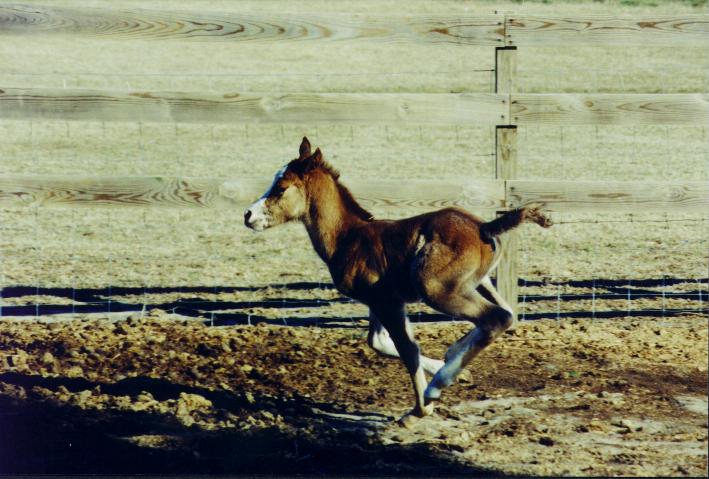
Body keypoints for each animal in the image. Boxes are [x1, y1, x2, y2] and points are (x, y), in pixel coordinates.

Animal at [245, 139, 552, 428]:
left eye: (281, 188)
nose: (248, 215)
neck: (348, 237)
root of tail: (484, 227)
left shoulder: (387, 303)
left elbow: (407, 349)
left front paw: (419, 410)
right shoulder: (382, 301)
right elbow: (379, 342)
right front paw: (451, 372)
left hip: (436, 289)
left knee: (496, 317)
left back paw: (437, 386)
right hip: (480, 283)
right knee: (507, 315)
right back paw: (452, 360)